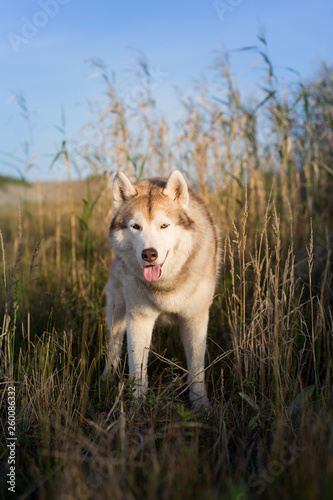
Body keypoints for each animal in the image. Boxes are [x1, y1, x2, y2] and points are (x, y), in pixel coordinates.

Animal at [102, 171, 219, 406]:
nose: (149, 254)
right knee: (114, 345)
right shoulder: (139, 318)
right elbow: (137, 368)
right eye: (136, 227)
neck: (166, 285)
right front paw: (137, 405)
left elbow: (196, 368)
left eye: (164, 226)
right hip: (116, 310)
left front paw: (201, 405)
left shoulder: (195, 318)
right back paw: (107, 377)